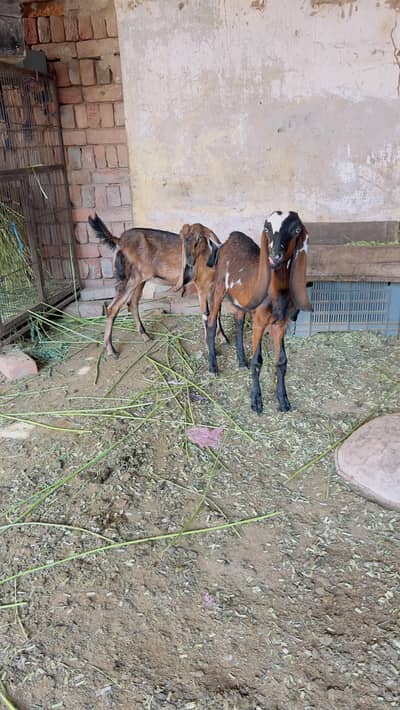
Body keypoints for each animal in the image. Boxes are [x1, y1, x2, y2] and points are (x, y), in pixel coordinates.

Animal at [88, 214, 228, 357]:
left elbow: (217, 312)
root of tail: (119, 240)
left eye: (199, 238)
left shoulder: (214, 288)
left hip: (140, 280)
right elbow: (206, 314)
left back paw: (144, 335)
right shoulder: (202, 287)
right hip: (130, 280)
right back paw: (110, 349)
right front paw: (212, 347)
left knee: (132, 303)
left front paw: (222, 337)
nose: (189, 262)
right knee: (113, 308)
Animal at [196, 211, 312, 413]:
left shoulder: (280, 323)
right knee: (211, 321)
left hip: (241, 300)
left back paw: (241, 361)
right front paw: (256, 401)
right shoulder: (259, 321)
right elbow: (258, 361)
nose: (275, 255)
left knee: (238, 321)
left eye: (297, 229)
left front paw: (283, 400)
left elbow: (282, 361)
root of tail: (231, 237)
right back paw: (213, 366)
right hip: (218, 287)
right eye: (267, 228)